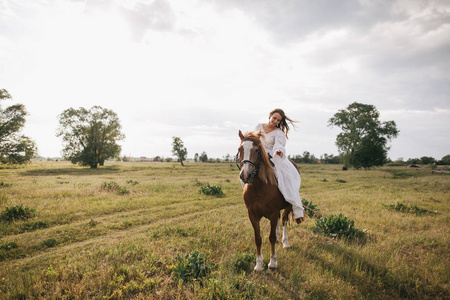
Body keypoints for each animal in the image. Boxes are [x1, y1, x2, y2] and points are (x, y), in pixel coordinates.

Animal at [236, 130, 302, 270]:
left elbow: (270, 237)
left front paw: (272, 262)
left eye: (256, 150)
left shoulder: (273, 212)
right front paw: (258, 264)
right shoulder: (252, 214)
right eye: (240, 149)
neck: (258, 187)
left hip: (288, 206)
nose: (245, 175)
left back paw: (285, 242)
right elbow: (258, 238)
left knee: (283, 220)